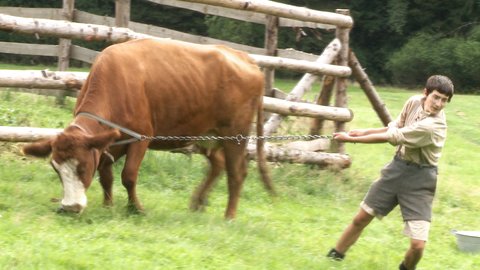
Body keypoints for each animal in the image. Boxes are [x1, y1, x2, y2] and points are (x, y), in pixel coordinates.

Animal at [22, 38, 272, 219]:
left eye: (82, 167)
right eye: (56, 168)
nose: (70, 208)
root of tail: (245, 58)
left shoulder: (141, 138)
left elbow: (128, 176)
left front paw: (136, 209)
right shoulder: (108, 142)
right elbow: (106, 177)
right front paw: (108, 205)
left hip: (235, 134)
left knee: (236, 173)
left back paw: (229, 216)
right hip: (206, 134)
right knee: (218, 164)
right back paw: (197, 202)